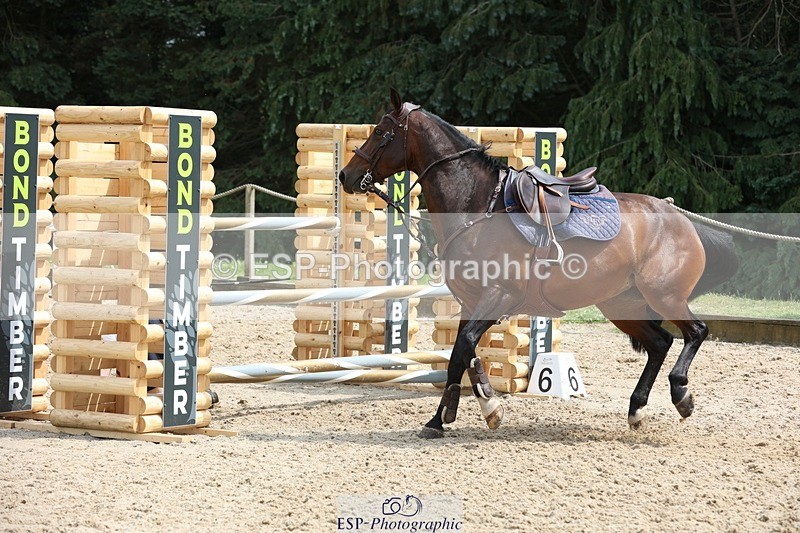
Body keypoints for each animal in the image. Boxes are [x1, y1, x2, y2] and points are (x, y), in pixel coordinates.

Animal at [339, 89, 738, 439]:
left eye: (382, 132)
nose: (346, 175)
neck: (477, 205)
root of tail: (682, 219)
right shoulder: (471, 302)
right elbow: (463, 354)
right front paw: (463, 413)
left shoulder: (499, 296)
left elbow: (462, 350)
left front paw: (463, 412)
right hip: (621, 304)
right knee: (660, 343)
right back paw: (636, 409)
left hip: (663, 296)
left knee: (695, 332)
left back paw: (681, 394)